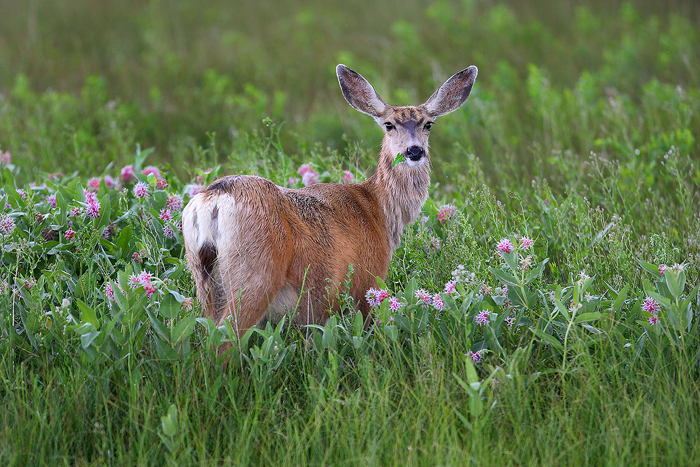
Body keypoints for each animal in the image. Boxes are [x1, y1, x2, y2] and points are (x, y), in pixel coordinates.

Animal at [182, 63, 478, 339]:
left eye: (428, 124)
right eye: (388, 124)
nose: (414, 151)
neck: (379, 212)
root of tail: (213, 199)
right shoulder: (367, 280)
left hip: (203, 277)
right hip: (256, 271)